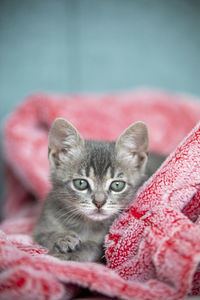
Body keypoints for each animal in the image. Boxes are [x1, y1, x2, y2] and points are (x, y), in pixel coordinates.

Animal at [32, 118, 164, 262]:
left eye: (117, 185)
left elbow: (93, 246)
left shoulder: (105, 245)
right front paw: (62, 237)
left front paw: (72, 254)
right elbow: (45, 235)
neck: (86, 224)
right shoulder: (41, 225)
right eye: (81, 183)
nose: (99, 202)